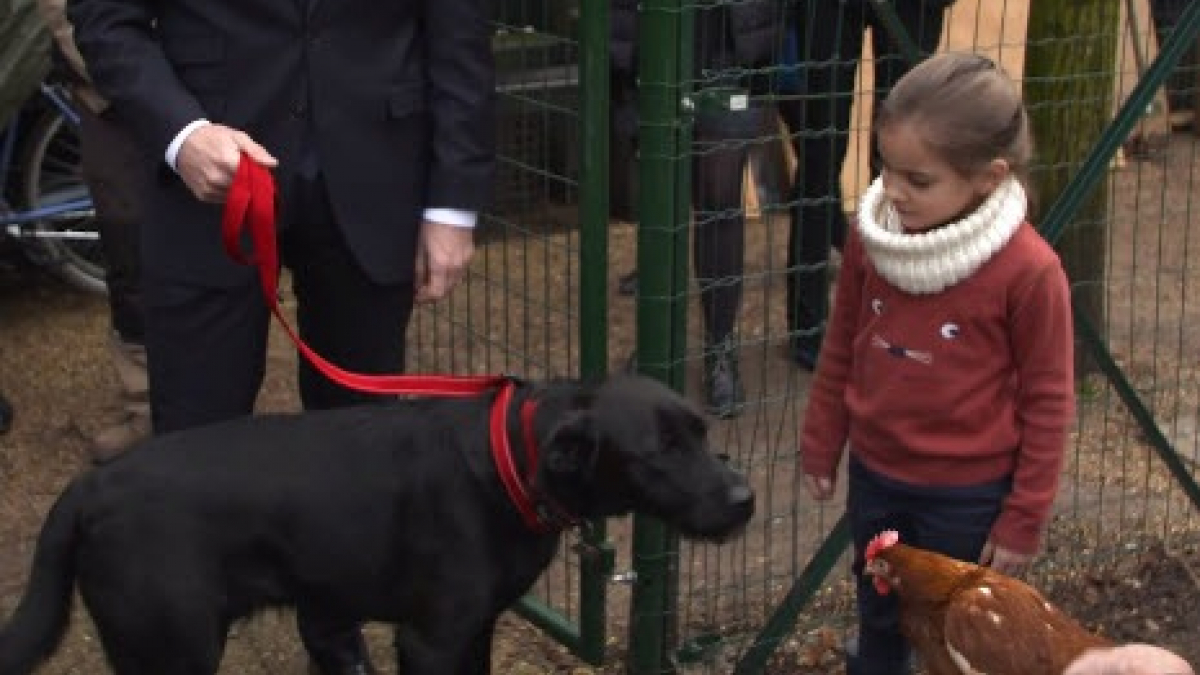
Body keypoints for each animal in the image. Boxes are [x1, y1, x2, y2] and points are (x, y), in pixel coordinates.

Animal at [0, 372, 748, 672]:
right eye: (660, 451)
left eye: (702, 432)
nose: (745, 498)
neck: (512, 458)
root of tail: (92, 485)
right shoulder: (429, 640)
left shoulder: (476, 628)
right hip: (172, 650)